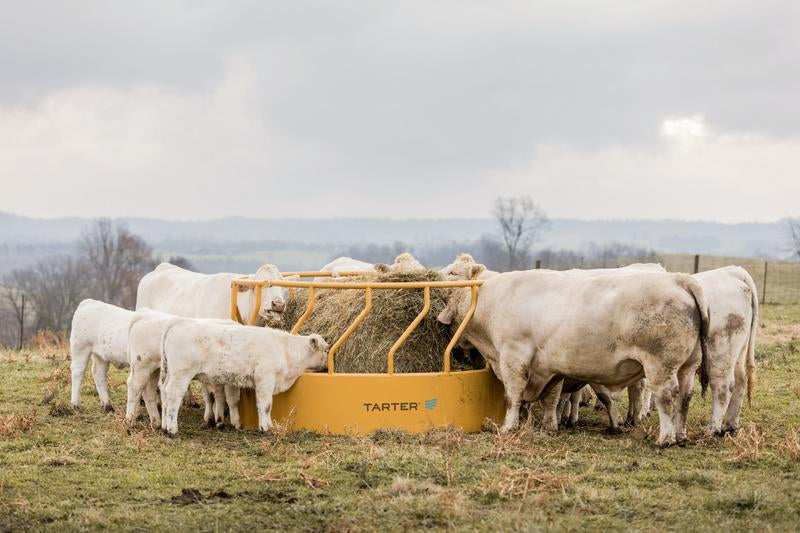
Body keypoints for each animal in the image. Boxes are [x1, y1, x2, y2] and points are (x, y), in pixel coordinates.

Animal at [135, 262, 292, 426]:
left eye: (283, 287)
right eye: (260, 284)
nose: (278, 305)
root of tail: (161, 267)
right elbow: (209, 392)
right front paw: (211, 416)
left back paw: (188, 399)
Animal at [159, 320, 328, 436]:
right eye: (326, 349)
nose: (328, 366)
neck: (284, 350)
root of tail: (176, 325)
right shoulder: (265, 380)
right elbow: (266, 405)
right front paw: (265, 428)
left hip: (170, 374)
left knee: (165, 394)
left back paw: (165, 427)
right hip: (181, 374)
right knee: (173, 397)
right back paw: (173, 430)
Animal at [437, 266, 710, 447]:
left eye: (452, 273)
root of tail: (679, 280)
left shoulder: (513, 358)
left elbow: (513, 397)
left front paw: (508, 427)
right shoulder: (549, 368)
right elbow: (551, 399)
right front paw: (549, 426)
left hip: (660, 365)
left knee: (666, 397)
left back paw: (665, 438)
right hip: (688, 365)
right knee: (685, 397)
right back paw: (681, 435)